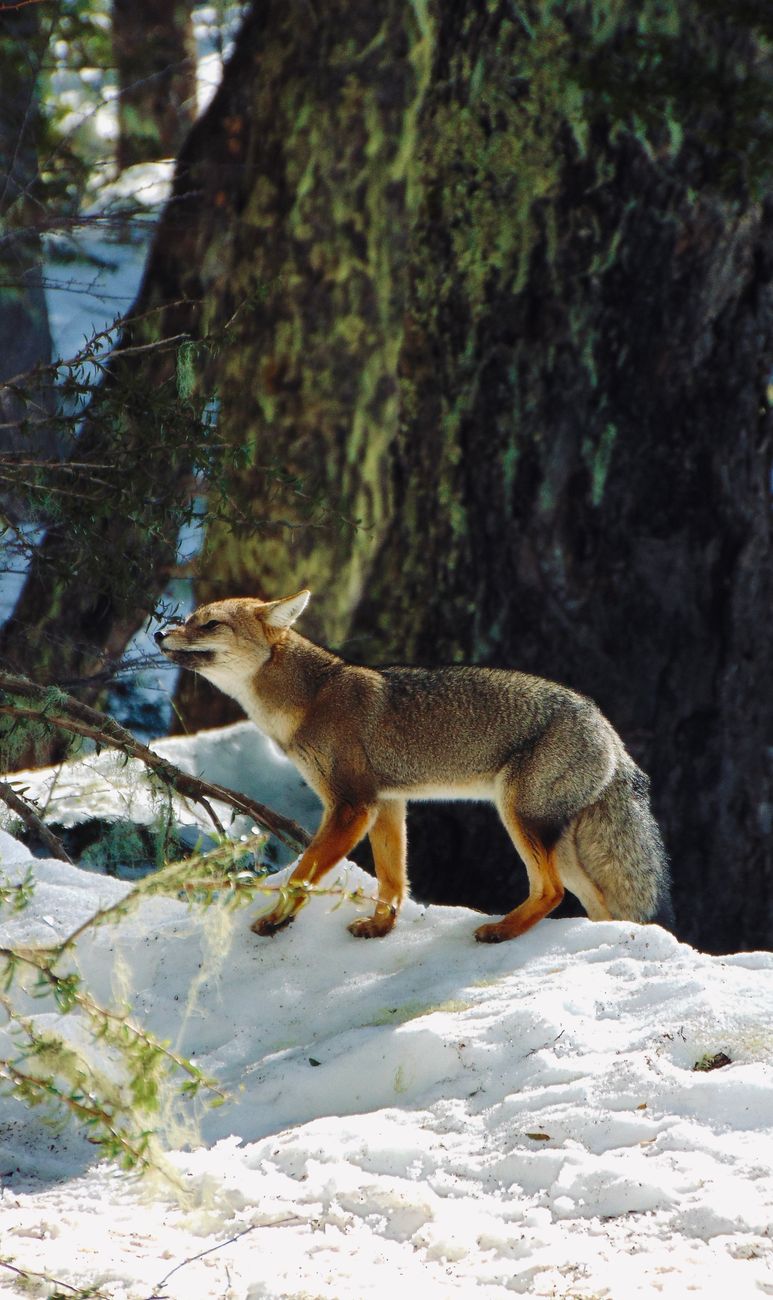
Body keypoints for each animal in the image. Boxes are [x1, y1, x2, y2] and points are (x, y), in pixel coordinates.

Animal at [155, 590, 672, 943]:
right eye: (188, 620)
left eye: (209, 624)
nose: (159, 632)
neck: (311, 700)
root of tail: (610, 732)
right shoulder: (387, 804)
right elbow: (393, 879)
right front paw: (380, 927)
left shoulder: (351, 806)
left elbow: (303, 873)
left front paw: (277, 919)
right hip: (556, 843)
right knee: (594, 903)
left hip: (519, 819)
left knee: (551, 892)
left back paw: (500, 931)